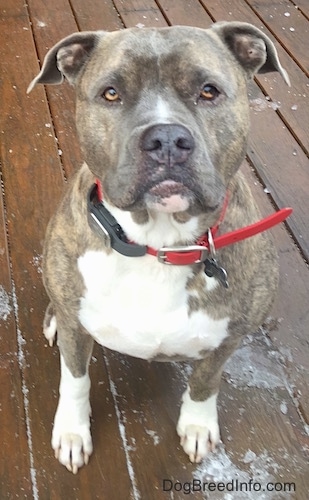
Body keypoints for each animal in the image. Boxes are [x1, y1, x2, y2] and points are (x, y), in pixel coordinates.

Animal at [27, 22, 290, 472]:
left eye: (209, 91)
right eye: (110, 93)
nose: (166, 138)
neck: (158, 245)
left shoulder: (230, 337)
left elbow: (206, 381)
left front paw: (198, 425)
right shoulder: (77, 336)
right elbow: (75, 379)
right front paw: (72, 432)